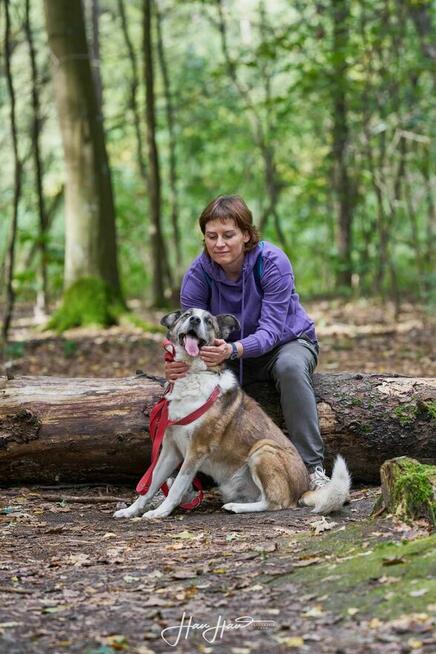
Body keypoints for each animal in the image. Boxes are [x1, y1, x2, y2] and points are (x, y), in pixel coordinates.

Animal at [113, 308, 350, 524]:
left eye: (208, 321)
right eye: (187, 314)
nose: (195, 319)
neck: (193, 374)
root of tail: (303, 489)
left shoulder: (196, 449)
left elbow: (178, 485)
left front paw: (160, 512)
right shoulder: (171, 449)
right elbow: (150, 483)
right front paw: (132, 510)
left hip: (262, 449)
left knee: (276, 502)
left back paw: (237, 507)